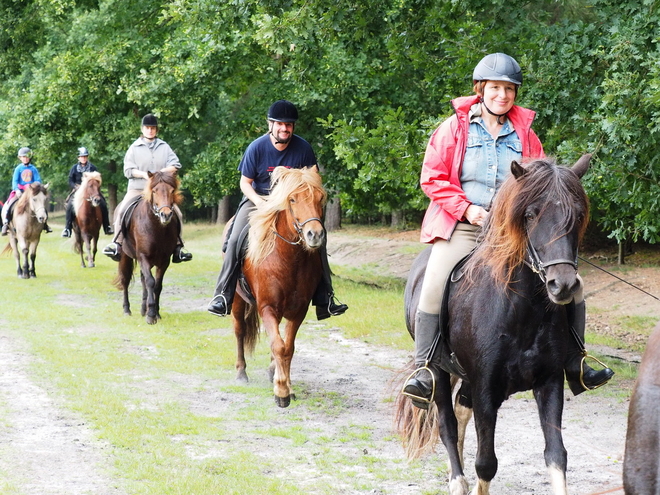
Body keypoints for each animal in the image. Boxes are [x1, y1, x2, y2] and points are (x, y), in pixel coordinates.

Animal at [113, 170, 180, 326]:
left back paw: (143, 309)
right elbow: (150, 282)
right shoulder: (143, 257)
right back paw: (127, 310)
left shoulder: (164, 261)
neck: (157, 228)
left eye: (172, 190)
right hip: (125, 256)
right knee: (125, 280)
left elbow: (157, 285)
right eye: (154, 191)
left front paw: (156, 313)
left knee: (143, 282)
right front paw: (151, 315)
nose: (166, 215)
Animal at [229, 167, 328, 406]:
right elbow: (279, 345)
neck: (288, 259)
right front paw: (281, 392)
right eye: (292, 199)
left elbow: (287, 347)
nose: (315, 234)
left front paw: (286, 386)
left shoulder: (299, 310)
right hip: (237, 300)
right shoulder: (267, 307)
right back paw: (241, 372)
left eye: (320, 198)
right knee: (239, 330)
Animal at [398, 156, 592, 495]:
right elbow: (486, 462)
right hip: (437, 371)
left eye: (578, 215)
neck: (522, 310)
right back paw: (457, 481)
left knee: (461, 412)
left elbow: (556, 455)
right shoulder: (486, 388)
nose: (563, 285)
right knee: (447, 424)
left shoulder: (549, 382)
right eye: (530, 214)